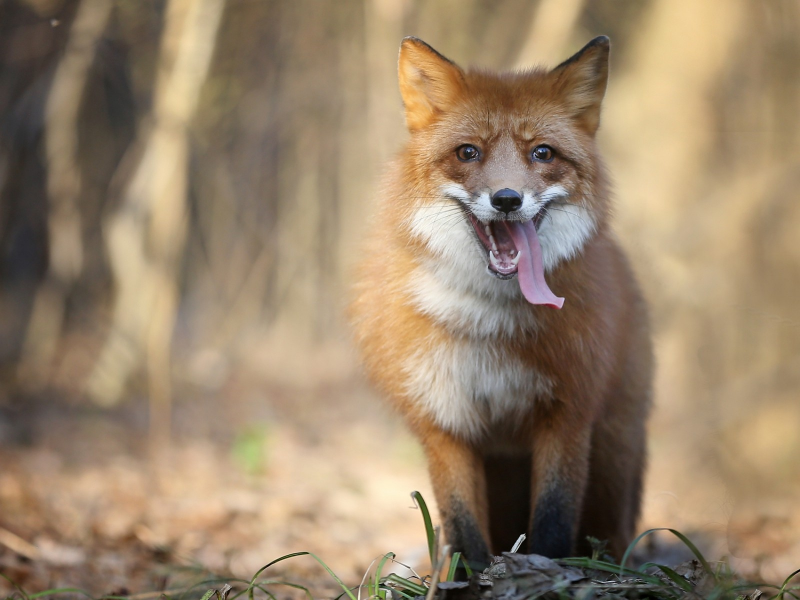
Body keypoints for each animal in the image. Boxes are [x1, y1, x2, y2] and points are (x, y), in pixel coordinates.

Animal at [348, 35, 648, 568]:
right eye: (469, 152)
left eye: (542, 152)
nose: (507, 199)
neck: (487, 323)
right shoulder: (442, 421)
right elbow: (463, 532)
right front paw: (469, 580)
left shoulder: (568, 413)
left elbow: (552, 523)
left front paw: (544, 573)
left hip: (612, 467)